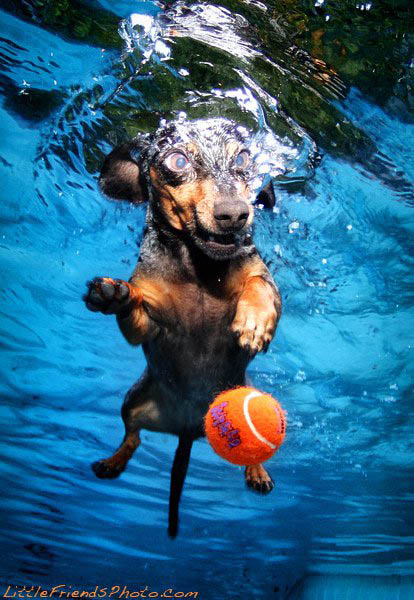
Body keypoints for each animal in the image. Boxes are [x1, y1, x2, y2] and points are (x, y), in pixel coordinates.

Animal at [84, 116, 282, 536]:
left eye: (243, 158)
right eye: (177, 161)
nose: (235, 214)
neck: (199, 269)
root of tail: (189, 430)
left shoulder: (260, 273)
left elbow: (258, 283)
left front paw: (254, 321)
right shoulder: (150, 324)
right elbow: (136, 309)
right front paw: (116, 296)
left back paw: (257, 472)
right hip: (132, 402)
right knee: (132, 437)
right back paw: (113, 463)